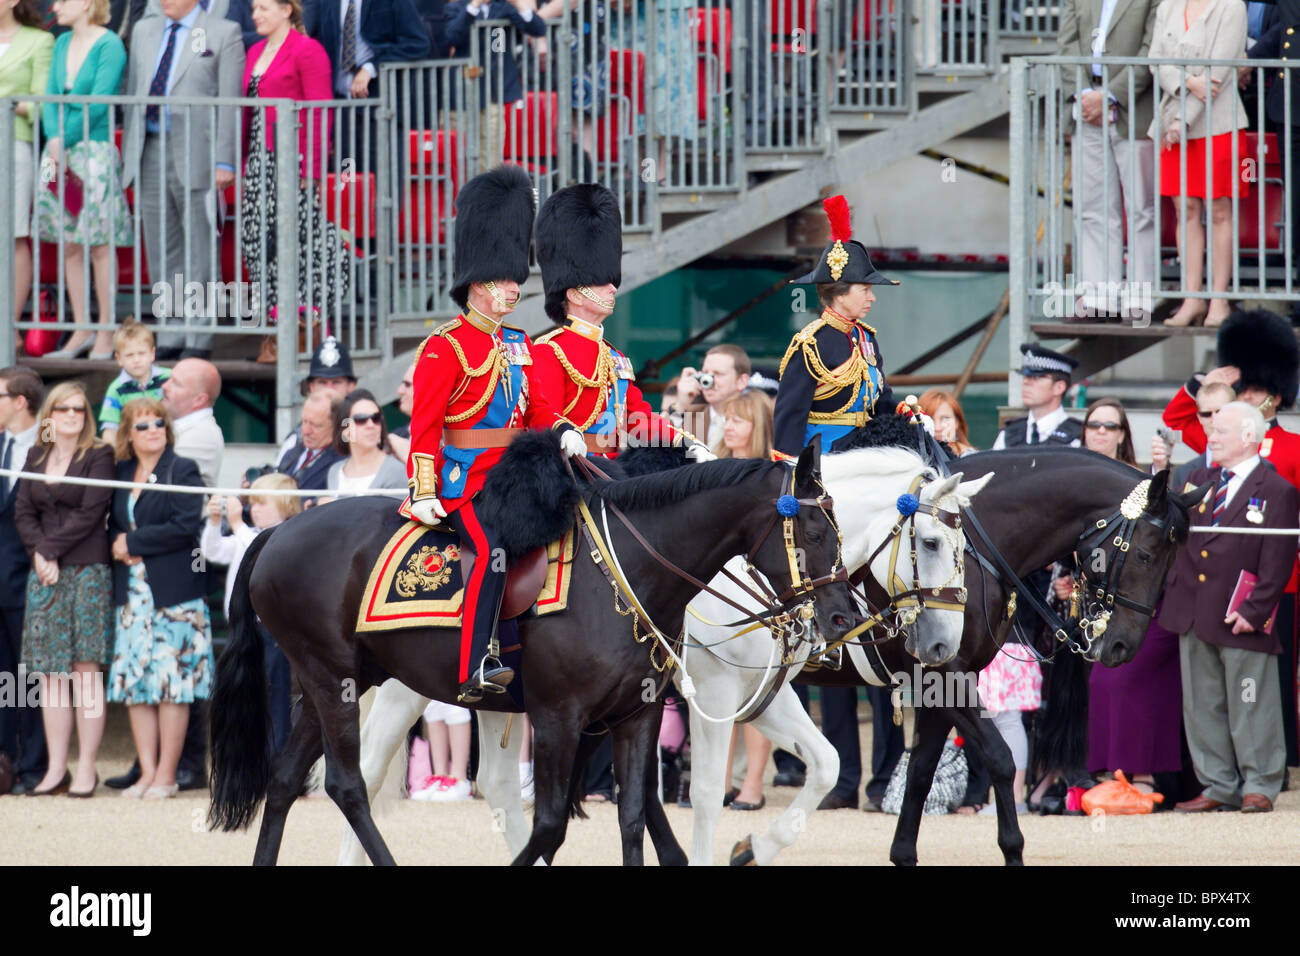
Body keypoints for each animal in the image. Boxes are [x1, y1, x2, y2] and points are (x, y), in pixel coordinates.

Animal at [205, 442, 863, 868]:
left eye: (839, 530)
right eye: (814, 533)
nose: (843, 619)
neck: (631, 572)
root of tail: (280, 531)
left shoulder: (639, 715)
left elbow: (630, 815)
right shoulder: (559, 717)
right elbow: (551, 826)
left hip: (335, 680)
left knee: (286, 780)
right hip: (335, 678)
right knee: (349, 783)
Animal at [335, 447, 982, 868]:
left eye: (963, 547)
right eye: (930, 542)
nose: (944, 645)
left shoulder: (758, 698)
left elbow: (823, 764)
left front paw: (754, 848)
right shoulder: (712, 696)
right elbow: (705, 795)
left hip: (502, 698)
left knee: (494, 785)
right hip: (408, 687)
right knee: (367, 771)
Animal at [800, 447, 1206, 868]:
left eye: (1170, 564)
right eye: (1143, 555)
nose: (1123, 645)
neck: (973, 548)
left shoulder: (941, 675)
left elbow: (922, 770)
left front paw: (904, 853)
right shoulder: (946, 675)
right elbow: (1000, 758)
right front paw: (1012, 848)